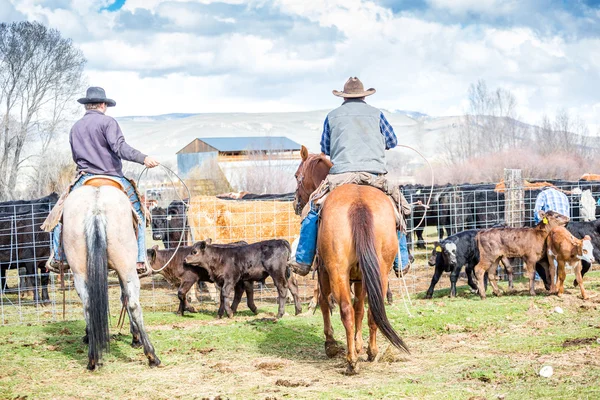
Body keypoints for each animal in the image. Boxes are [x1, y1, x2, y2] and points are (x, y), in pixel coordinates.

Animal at [63, 186, 159, 370]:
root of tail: (96, 208)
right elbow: (125, 299)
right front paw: (135, 337)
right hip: (127, 269)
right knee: (134, 304)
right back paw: (152, 355)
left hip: (79, 272)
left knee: (88, 305)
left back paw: (93, 359)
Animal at [294, 146, 410, 376]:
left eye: (296, 176)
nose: (296, 203)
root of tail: (358, 203)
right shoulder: (361, 277)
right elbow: (360, 308)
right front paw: (358, 344)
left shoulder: (323, 273)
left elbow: (325, 302)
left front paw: (331, 344)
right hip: (379, 271)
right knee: (373, 309)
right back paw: (371, 352)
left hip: (336, 271)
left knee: (345, 309)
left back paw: (352, 361)